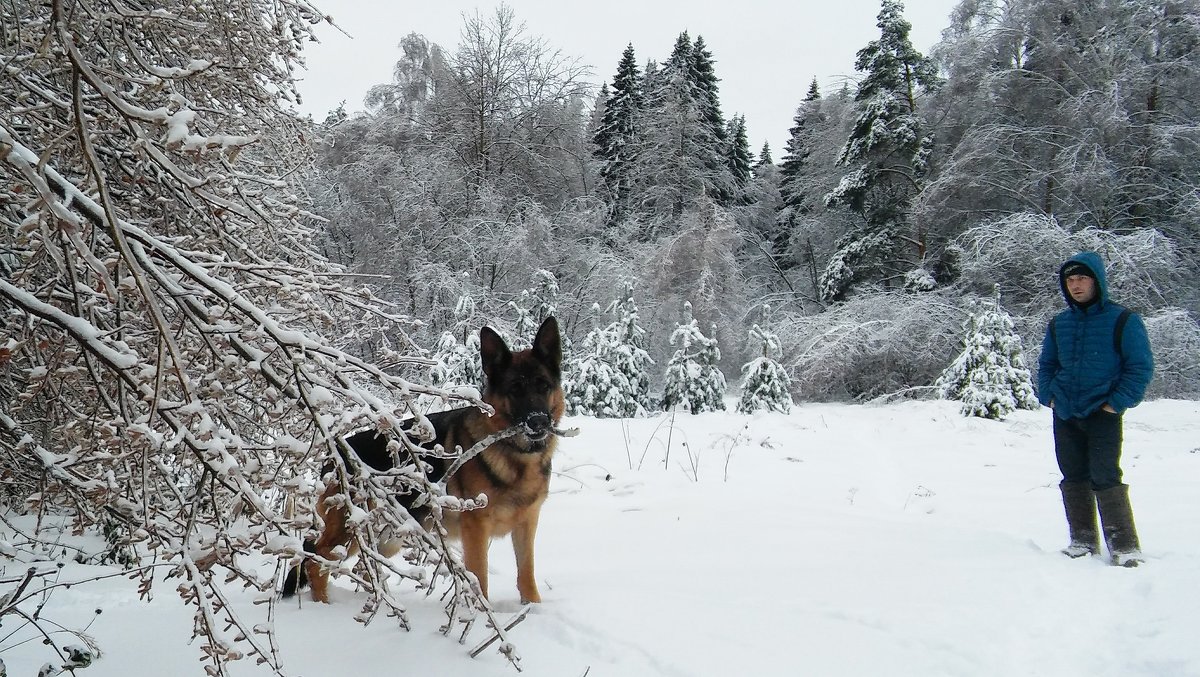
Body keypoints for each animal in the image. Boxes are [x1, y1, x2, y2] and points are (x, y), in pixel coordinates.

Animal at [282, 316, 566, 602]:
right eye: (515, 389)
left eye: (543, 385)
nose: (538, 422)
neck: (517, 456)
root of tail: (335, 454)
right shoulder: (476, 528)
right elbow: (480, 579)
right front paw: (484, 613)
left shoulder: (527, 525)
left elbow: (526, 573)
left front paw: (532, 607)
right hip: (351, 528)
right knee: (314, 562)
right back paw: (325, 605)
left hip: (388, 535)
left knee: (359, 564)